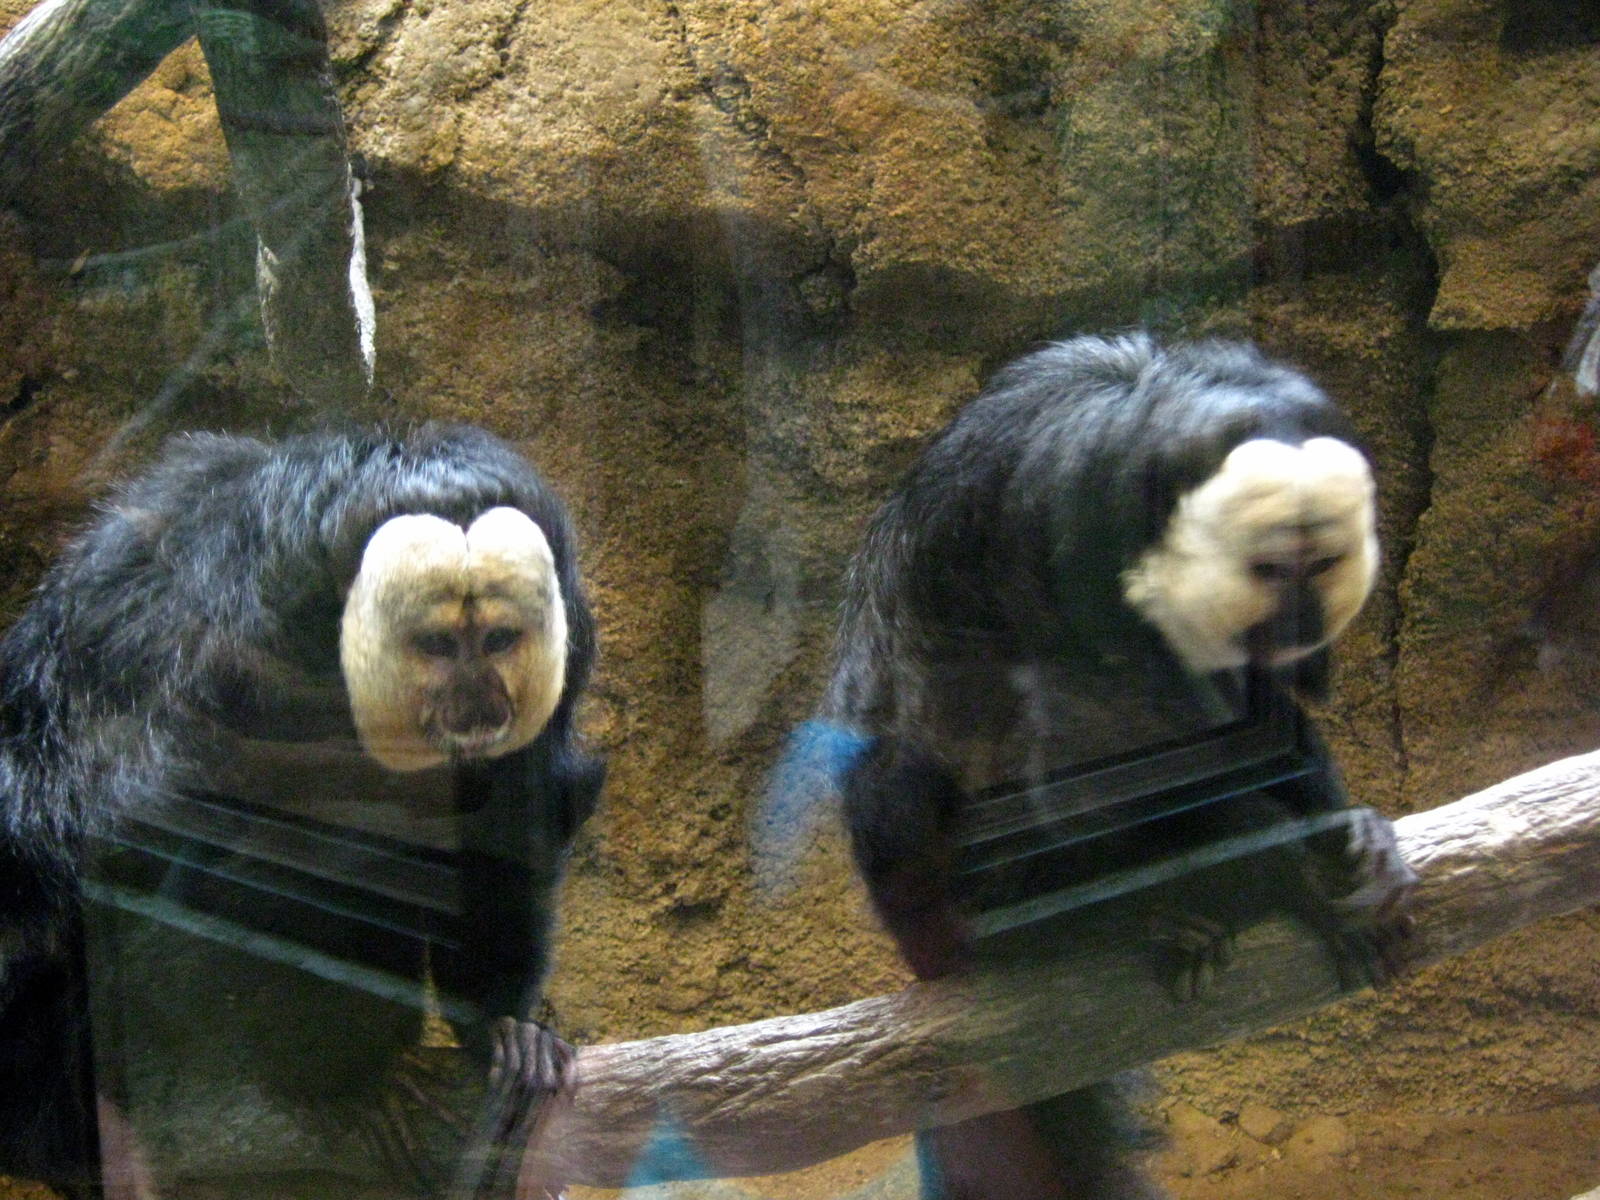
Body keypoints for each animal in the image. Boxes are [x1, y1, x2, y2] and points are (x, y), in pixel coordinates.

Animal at [0, 423, 603, 1197]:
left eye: (497, 640)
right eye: (438, 645)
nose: (478, 701)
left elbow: (506, 834)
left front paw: (504, 1031)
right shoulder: (236, 654)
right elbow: (166, 853)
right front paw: (343, 1082)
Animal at [820, 333, 1416, 1200]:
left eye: (1322, 562)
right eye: (1275, 569)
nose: (1299, 619)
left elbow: (1261, 716)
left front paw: (1345, 835)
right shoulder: (1073, 511)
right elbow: (1108, 727)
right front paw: (1295, 866)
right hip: (940, 886)